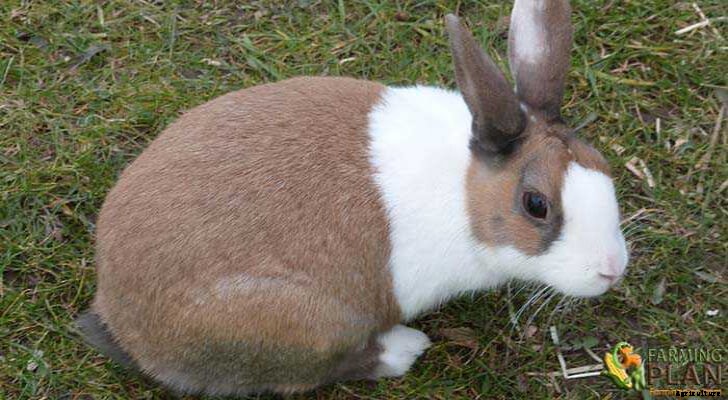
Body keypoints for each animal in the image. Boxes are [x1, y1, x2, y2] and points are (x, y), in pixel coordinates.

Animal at [77, 0, 629, 396]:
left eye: (602, 164)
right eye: (536, 204)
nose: (612, 269)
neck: (464, 192)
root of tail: (121, 318)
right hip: (305, 324)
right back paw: (403, 348)